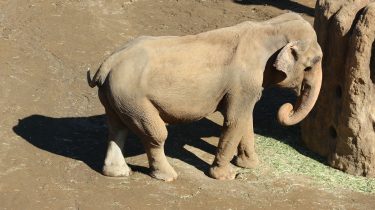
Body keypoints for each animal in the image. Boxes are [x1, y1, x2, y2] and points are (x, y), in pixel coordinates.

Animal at [87, 12, 324, 181]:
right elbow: (235, 120)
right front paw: (226, 176)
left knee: (117, 128)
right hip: (132, 97)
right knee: (156, 134)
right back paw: (168, 176)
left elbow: (246, 120)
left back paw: (118, 173)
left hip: (116, 97)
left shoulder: (246, 86)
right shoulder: (244, 82)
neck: (269, 27)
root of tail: (107, 64)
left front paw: (249, 165)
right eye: (312, 64)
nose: (287, 107)